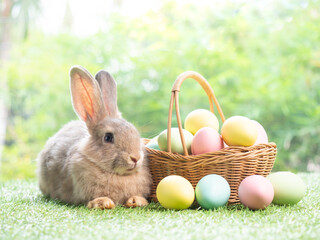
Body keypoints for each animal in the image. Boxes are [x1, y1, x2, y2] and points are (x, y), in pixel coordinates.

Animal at [37, 66, 152, 209]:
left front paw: (137, 201)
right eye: (108, 137)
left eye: (135, 132)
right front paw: (104, 202)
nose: (135, 158)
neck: (118, 175)